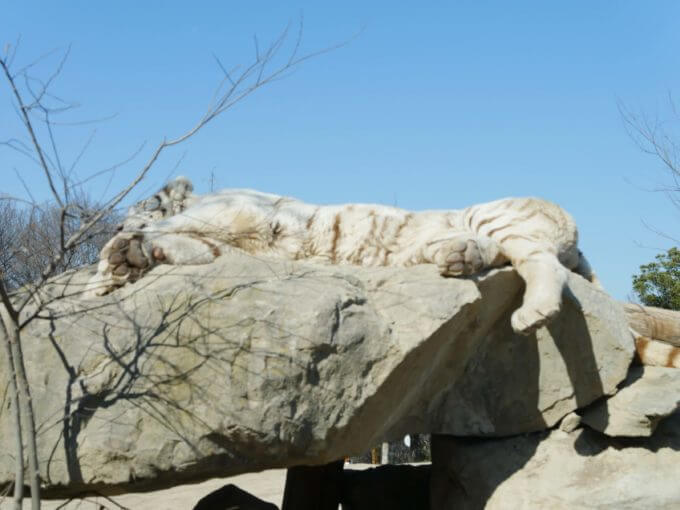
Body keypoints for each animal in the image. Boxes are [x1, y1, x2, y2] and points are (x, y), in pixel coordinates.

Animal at [83, 177, 596, 336]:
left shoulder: (237, 212)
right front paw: (118, 266)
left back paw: (532, 314)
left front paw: (110, 261)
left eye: (136, 205)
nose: (115, 226)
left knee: (542, 264)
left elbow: (171, 228)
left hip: (499, 216)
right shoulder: (222, 244)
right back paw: (458, 255)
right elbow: (187, 246)